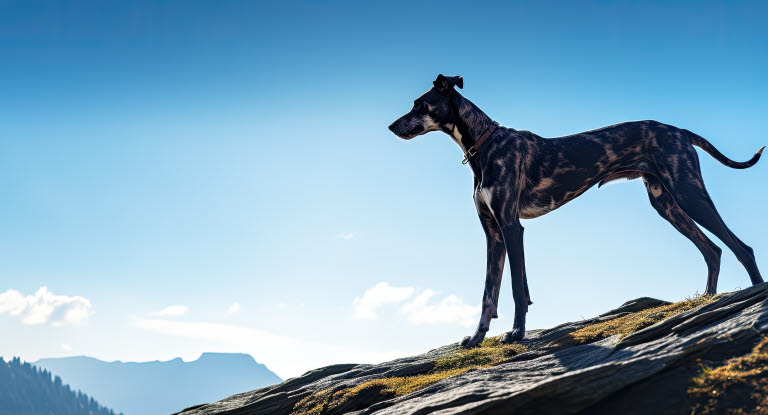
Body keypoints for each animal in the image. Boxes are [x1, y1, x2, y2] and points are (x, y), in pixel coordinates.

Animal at [390, 74, 760, 348]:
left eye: (420, 104)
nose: (392, 127)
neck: (485, 144)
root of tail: (680, 131)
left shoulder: (511, 226)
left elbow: (517, 288)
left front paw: (517, 333)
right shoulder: (492, 233)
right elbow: (488, 294)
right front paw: (477, 338)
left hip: (688, 194)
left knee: (741, 247)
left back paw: (755, 292)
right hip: (666, 203)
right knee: (712, 250)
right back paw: (706, 300)